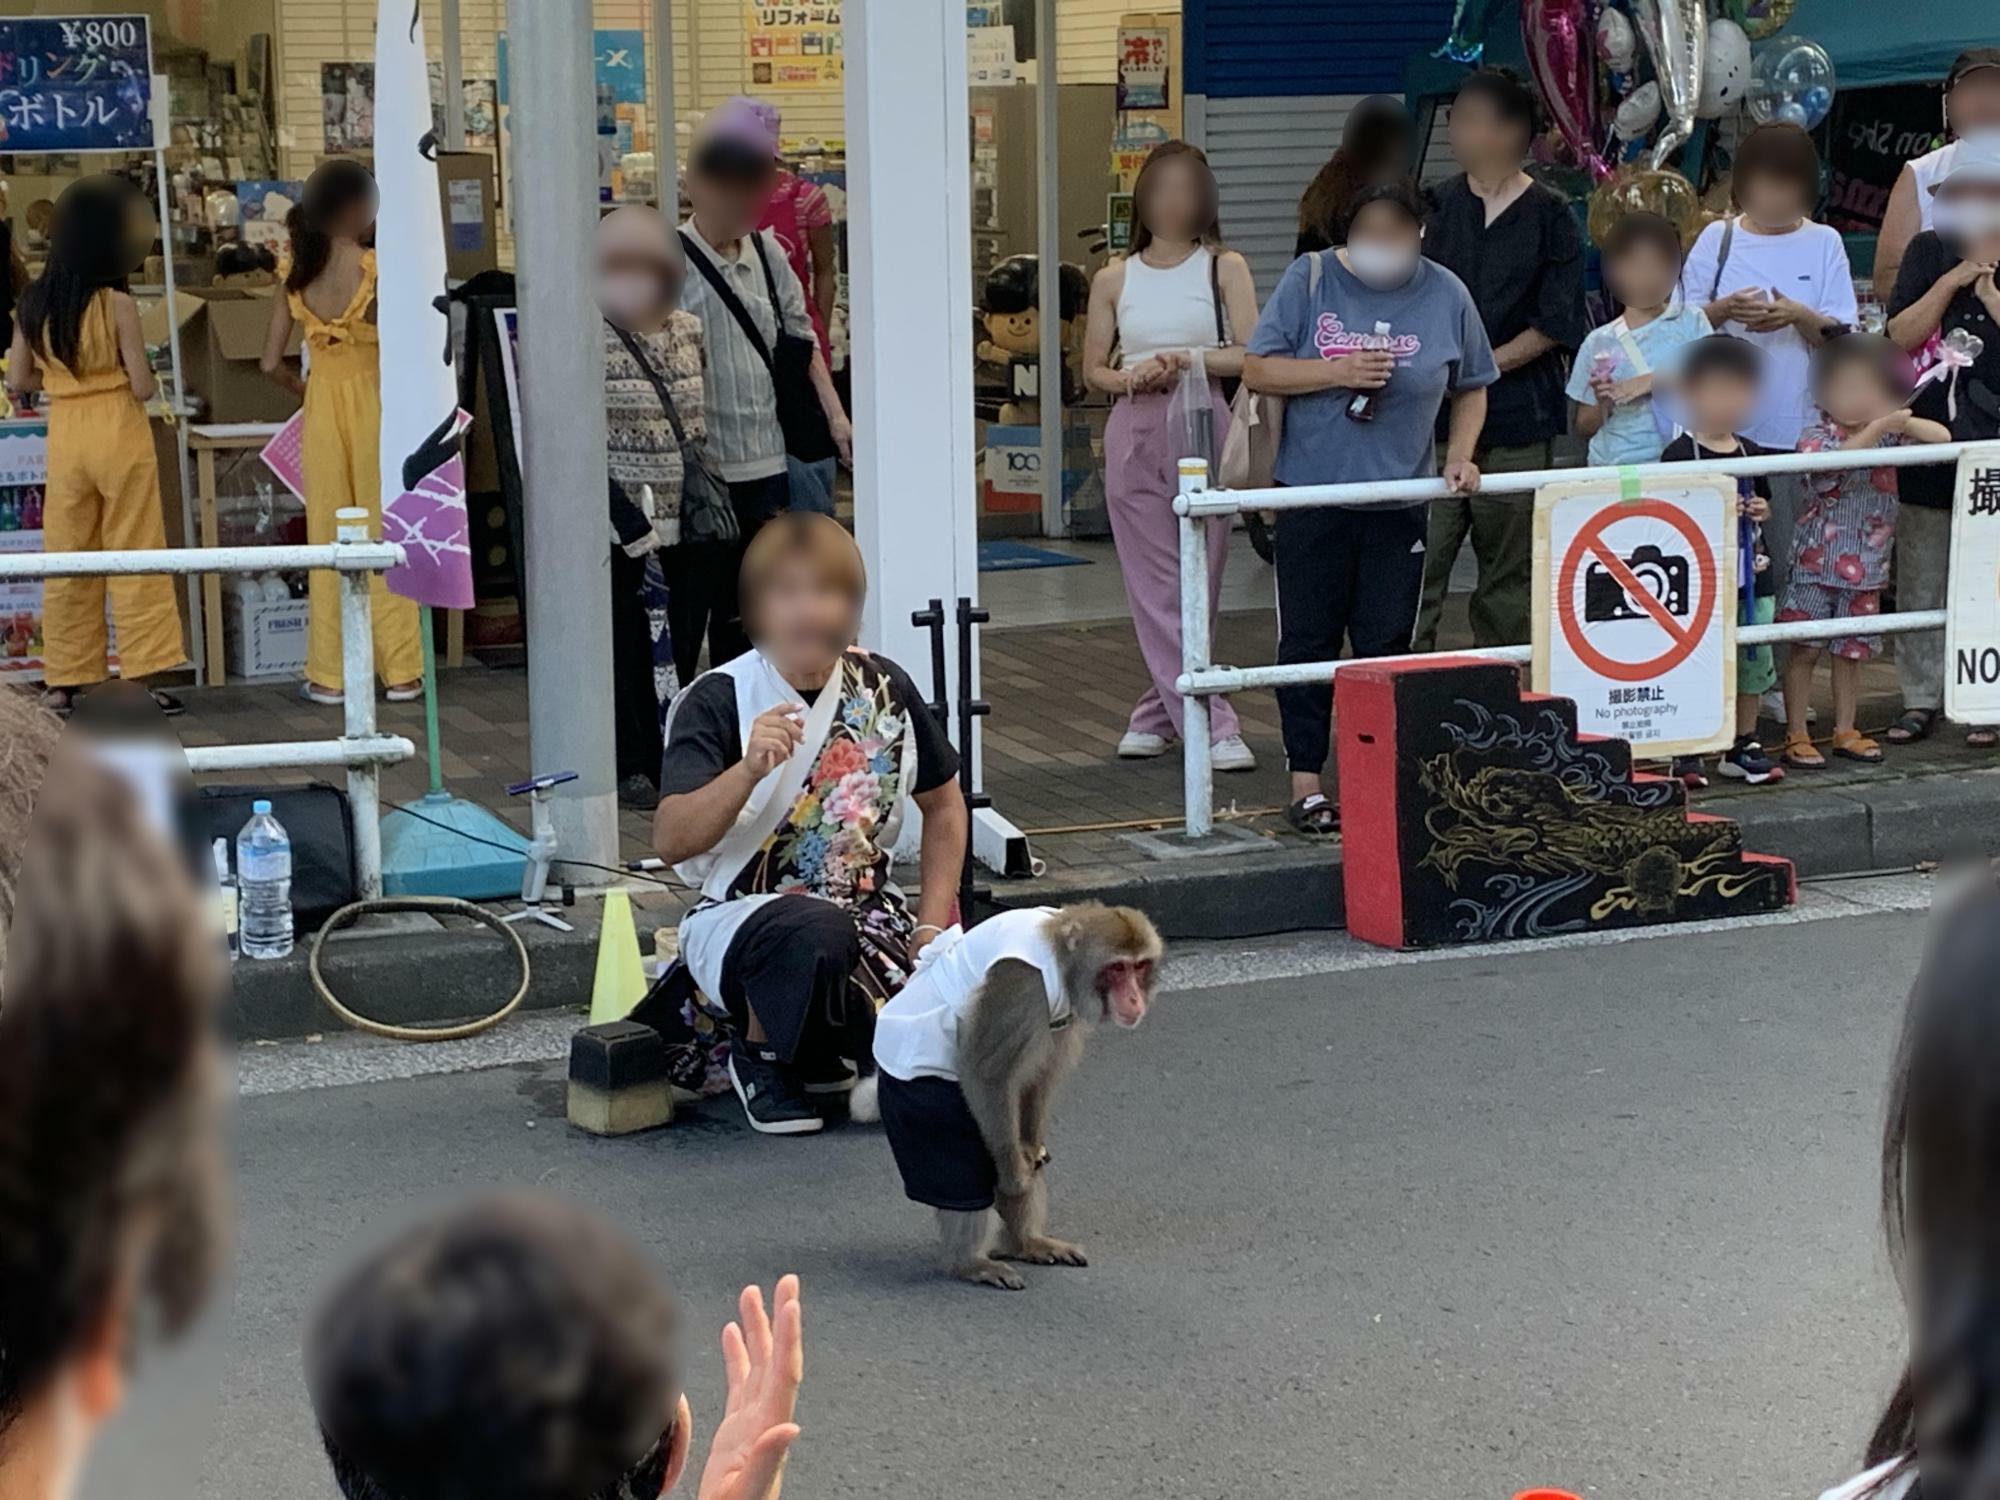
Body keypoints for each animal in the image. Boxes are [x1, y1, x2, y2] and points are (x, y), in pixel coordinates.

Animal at [856, 904, 1168, 1296]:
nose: (1134, 998)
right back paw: (969, 1262)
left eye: (1139, 967)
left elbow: (1041, 1074)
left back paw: (1026, 1242)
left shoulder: (1062, 1013)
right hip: (923, 1104)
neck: (1059, 955)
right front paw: (1016, 1178)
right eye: (1117, 969)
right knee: (963, 1178)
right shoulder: (1022, 985)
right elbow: (988, 1072)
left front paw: (1031, 1149)